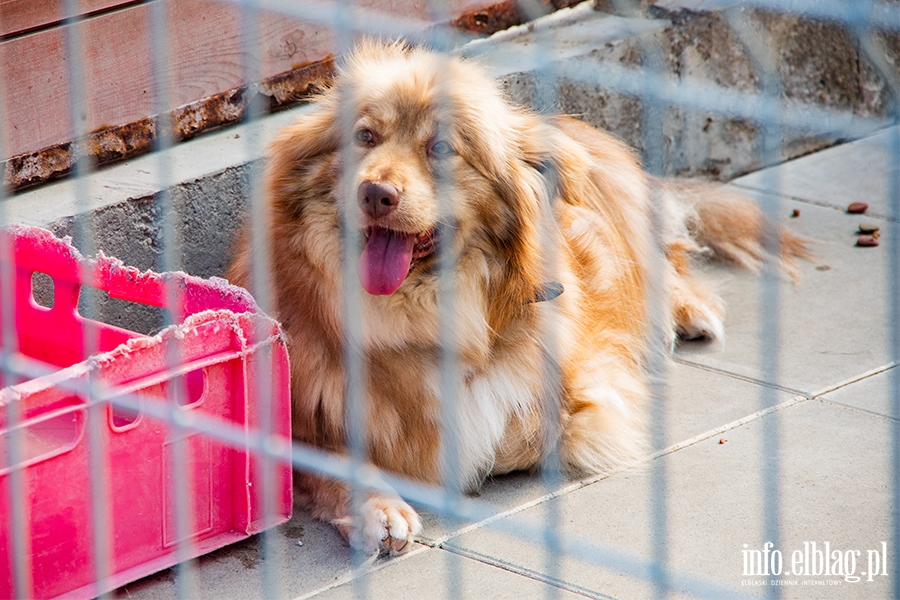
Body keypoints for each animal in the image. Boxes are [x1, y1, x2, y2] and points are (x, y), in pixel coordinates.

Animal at [227, 37, 808, 552]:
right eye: (366, 136)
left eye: (441, 148)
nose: (375, 193)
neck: (417, 315)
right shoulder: (294, 420)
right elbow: (339, 465)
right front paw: (379, 509)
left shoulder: (582, 402)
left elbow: (512, 437)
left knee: (666, 259)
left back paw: (687, 312)